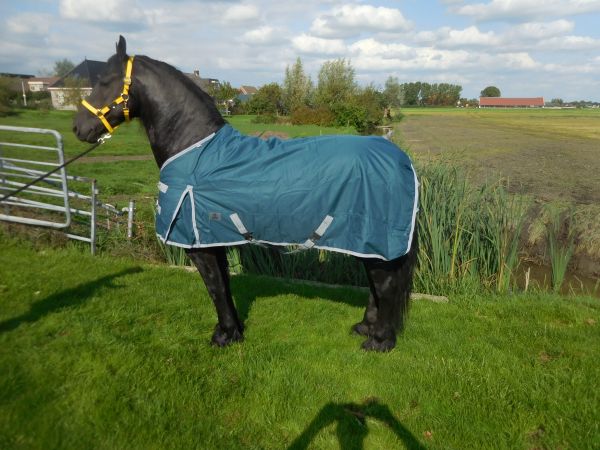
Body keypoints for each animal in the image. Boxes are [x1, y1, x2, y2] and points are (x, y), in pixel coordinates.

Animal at [74, 37, 418, 352]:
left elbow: (214, 287)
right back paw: (364, 327)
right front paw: (232, 329)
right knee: (376, 285)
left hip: (375, 238)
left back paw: (379, 341)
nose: (79, 128)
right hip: (366, 243)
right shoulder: (213, 239)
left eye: (104, 81)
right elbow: (224, 286)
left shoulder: (198, 244)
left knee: (385, 285)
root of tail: (402, 159)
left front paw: (224, 336)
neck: (195, 149)